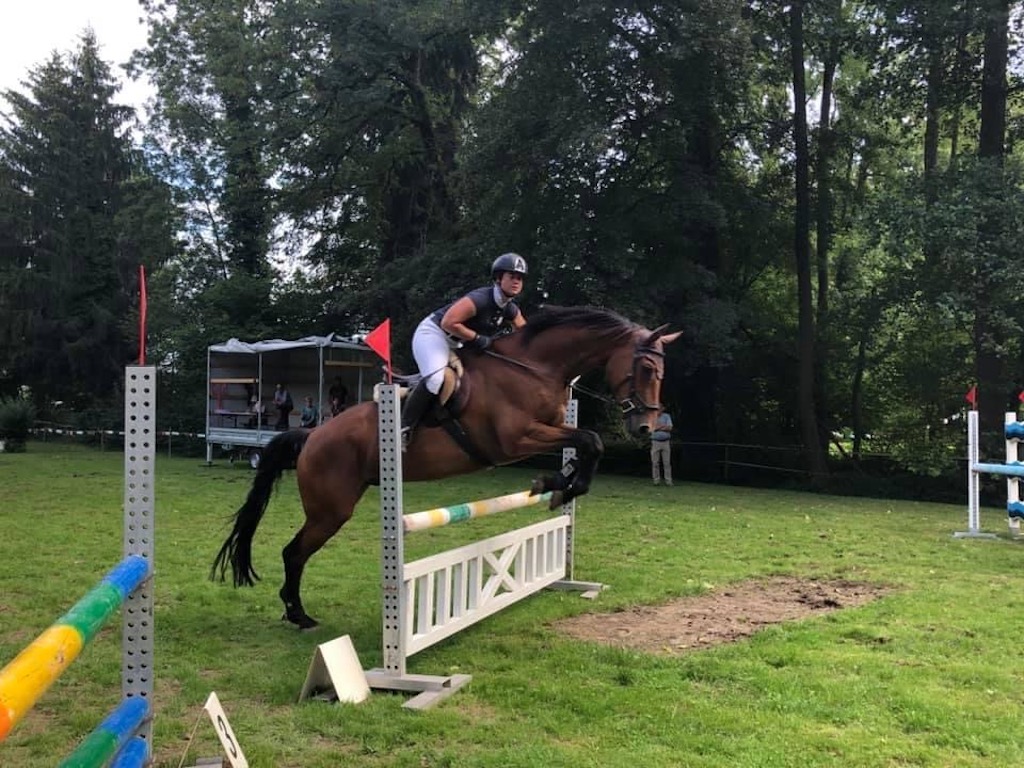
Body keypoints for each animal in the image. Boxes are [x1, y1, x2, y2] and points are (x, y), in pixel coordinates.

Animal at [212, 305, 681, 629]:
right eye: (646, 367)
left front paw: (559, 484)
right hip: (331, 510)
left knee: (295, 551)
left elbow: (587, 443)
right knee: (294, 552)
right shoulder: (514, 441)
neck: (535, 369)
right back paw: (299, 615)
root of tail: (312, 436)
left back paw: (296, 612)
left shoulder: (549, 428)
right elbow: (591, 441)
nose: (645, 426)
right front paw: (558, 483)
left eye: (661, 370)